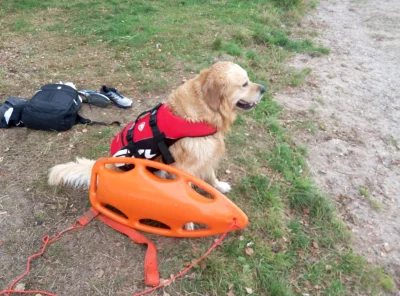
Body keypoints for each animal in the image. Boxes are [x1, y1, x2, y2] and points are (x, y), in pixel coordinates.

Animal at [48, 61, 264, 198]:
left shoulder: (207, 153)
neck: (204, 111)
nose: (264, 89)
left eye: (249, 80)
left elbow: (210, 174)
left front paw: (219, 186)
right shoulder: (185, 166)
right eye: (244, 84)